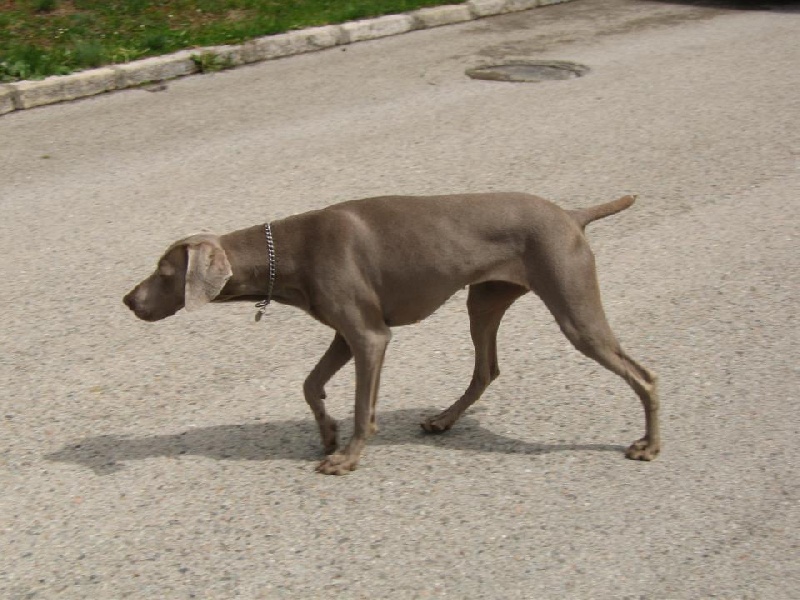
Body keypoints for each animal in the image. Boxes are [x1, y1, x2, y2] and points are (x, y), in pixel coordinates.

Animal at [125, 192, 660, 474]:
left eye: (163, 272)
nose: (128, 300)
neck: (289, 252)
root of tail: (571, 214)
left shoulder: (369, 337)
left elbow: (364, 406)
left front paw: (347, 456)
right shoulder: (345, 333)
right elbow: (310, 384)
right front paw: (327, 431)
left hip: (574, 309)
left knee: (645, 376)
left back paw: (648, 446)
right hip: (484, 300)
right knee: (486, 369)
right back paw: (442, 420)